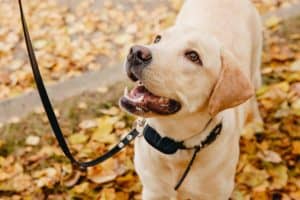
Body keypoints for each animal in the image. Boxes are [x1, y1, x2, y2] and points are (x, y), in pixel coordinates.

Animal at [119, 0, 262, 198]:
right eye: (158, 39)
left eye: (193, 56)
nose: (135, 51)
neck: (175, 146)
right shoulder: (153, 190)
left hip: (254, 69)